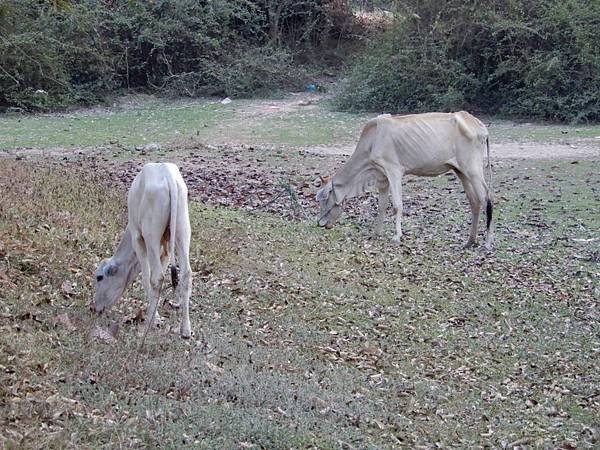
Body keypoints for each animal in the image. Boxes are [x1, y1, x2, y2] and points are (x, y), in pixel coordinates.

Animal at [94, 162, 193, 338]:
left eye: (99, 277)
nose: (95, 308)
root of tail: (167, 173)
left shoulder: (138, 238)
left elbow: (146, 278)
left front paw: (155, 318)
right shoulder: (165, 247)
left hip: (151, 235)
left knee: (157, 277)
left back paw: (148, 324)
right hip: (182, 230)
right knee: (186, 274)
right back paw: (185, 329)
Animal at [316, 110, 494, 248]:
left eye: (324, 200)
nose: (319, 223)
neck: (372, 141)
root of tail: (479, 125)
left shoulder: (394, 171)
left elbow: (397, 205)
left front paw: (396, 236)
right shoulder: (382, 178)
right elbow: (382, 206)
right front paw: (376, 233)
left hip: (473, 170)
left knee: (486, 198)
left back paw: (487, 242)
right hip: (461, 171)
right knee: (474, 202)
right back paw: (469, 241)